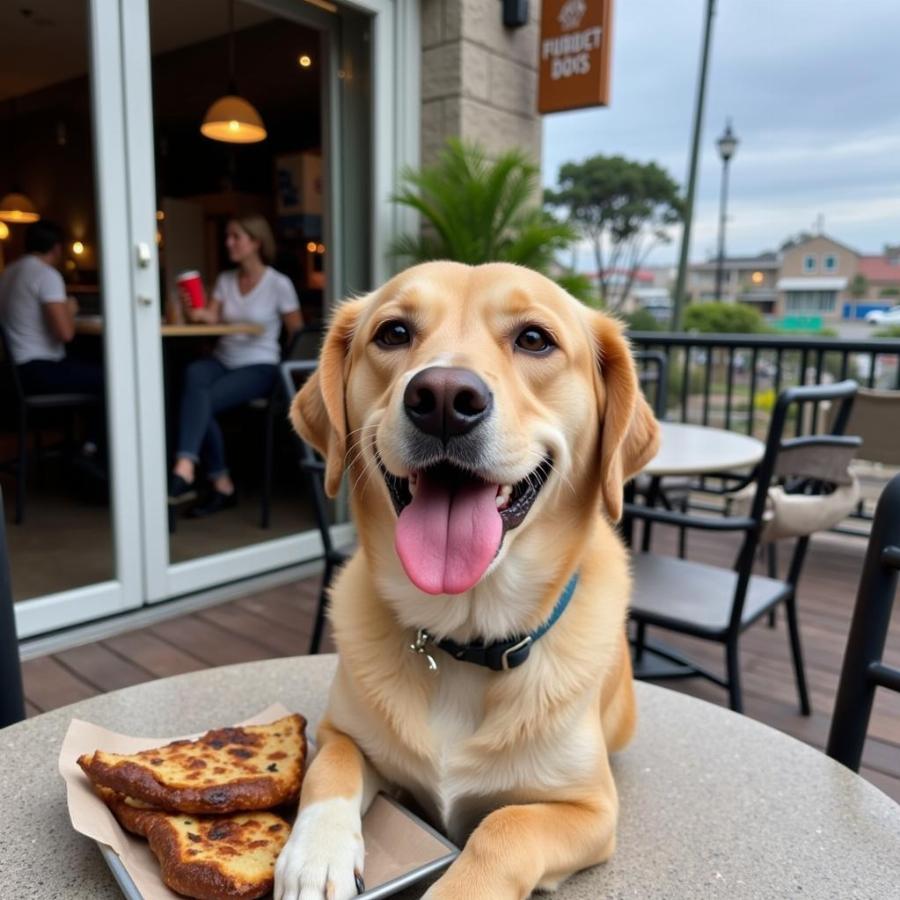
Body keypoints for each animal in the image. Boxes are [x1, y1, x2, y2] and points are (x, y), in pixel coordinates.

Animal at [274, 262, 652, 900]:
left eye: (534, 339)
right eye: (394, 332)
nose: (445, 398)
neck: (464, 640)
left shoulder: (591, 811)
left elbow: (506, 826)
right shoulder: (337, 731)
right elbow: (330, 769)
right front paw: (314, 855)